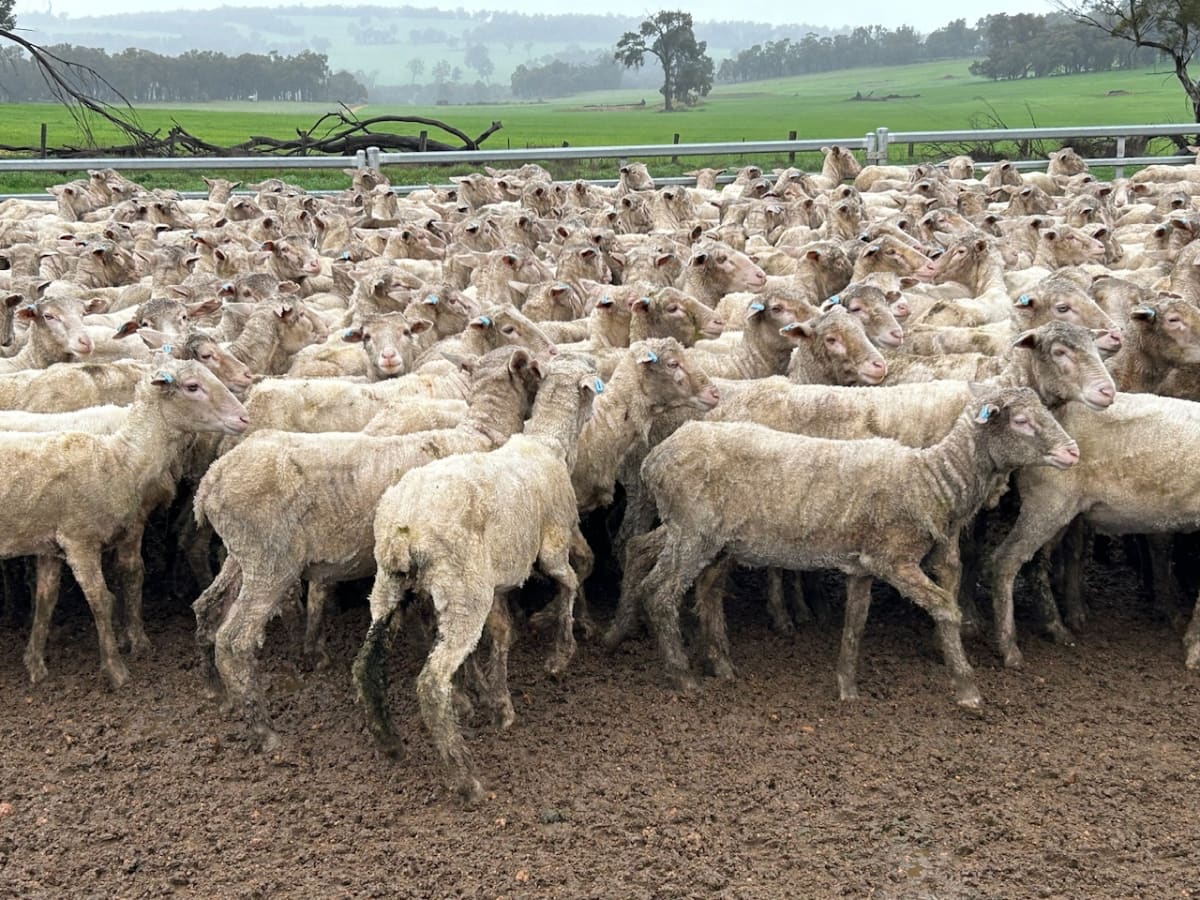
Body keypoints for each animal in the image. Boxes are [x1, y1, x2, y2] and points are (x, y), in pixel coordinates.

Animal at [14, 360, 249, 687]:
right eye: (192, 386)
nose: (244, 417)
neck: (122, 450)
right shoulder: (108, 529)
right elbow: (125, 577)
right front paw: (130, 646)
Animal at [193, 346, 545, 750]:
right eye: (535, 368)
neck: (479, 434)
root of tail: (211, 478)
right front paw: (474, 697)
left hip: (241, 555)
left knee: (206, 607)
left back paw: (218, 692)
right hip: (270, 562)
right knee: (234, 641)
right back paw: (264, 731)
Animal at [354, 355, 602, 801]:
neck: (548, 443)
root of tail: (404, 530)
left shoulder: (498, 583)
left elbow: (502, 634)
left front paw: (497, 700)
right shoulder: (553, 545)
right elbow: (572, 582)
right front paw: (560, 652)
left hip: (391, 587)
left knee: (365, 664)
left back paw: (389, 742)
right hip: (463, 592)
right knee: (431, 682)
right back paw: (464, 777)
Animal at [621, 386, 1078, 706]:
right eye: (1022, 421)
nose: (1073, 452)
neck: (930, 482)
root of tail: (655, 458)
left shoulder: (863, 565)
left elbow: (855, 623)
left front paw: (847, 686)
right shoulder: (894, 559)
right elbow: (947, 609)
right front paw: (967, 688)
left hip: (697, 533)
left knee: (649, 556)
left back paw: (696, 657)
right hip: (693, 532)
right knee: (659, 591)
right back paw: (682, 675)